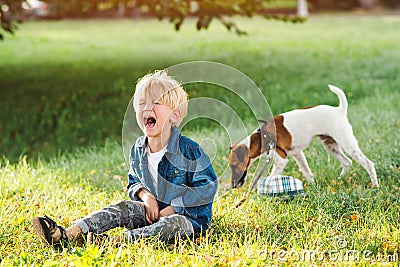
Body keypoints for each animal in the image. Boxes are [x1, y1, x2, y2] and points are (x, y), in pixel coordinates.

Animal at [228, 85, 378, 188]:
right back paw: (340, 180)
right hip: (330, 145)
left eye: (234, 166)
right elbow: (307, 172)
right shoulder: (298, 154)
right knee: (347, 162)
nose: (233, 186)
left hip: (347, 144)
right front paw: (313, 187)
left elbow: (268, 179)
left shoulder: (281, 161)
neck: (260, 136)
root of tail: (339, 110)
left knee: (368, 163)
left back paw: (375, 185)